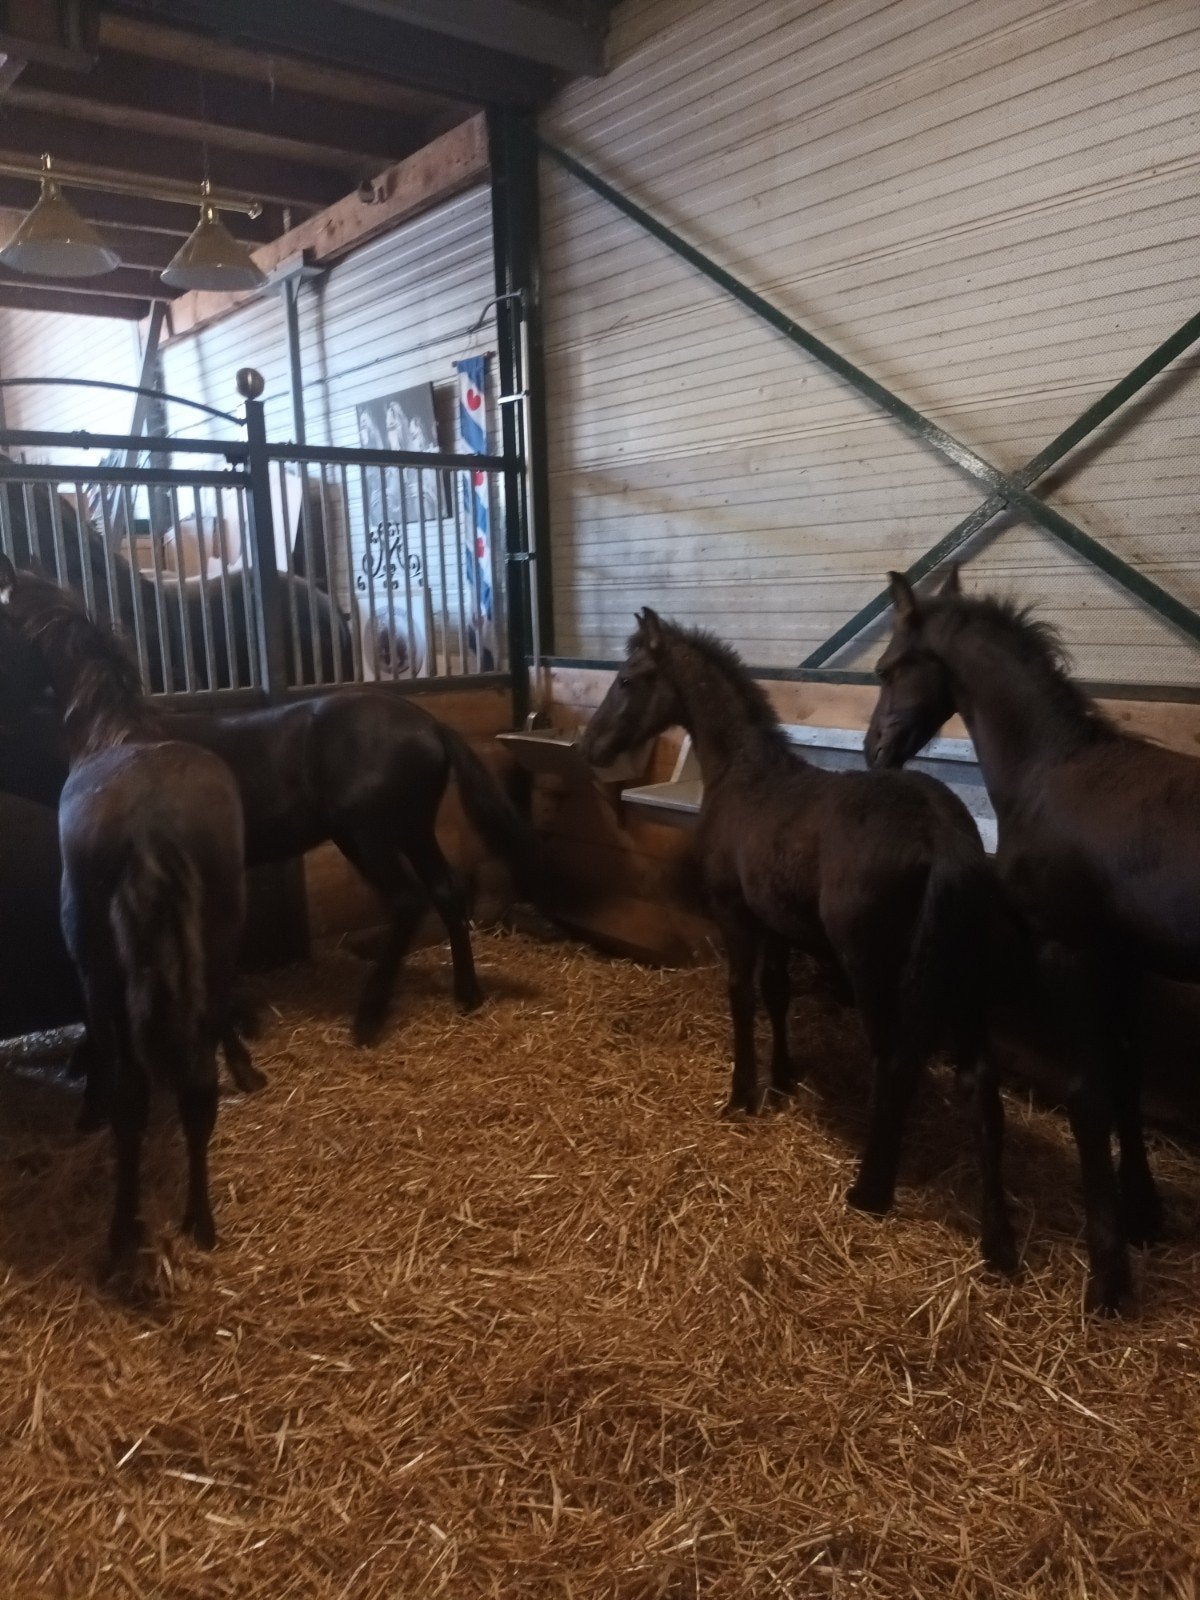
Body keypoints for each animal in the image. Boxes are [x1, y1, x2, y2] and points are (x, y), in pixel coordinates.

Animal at [0, 555, 260, 1264]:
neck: (114, 730)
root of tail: (150, 827)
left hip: (99, 965)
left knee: (132, 1099)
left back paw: (120, 1234)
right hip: (215, 940)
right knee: (195, 1085)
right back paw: (199, 1220)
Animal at [581, 608, 1016, 1273]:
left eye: (628, 678)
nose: (590, 747)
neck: (744, 775)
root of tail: (942, 834)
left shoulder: (737, 917)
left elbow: (741, 995)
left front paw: (742, 1095)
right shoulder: (774, 924)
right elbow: (778, 993)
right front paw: (784, 1078)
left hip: (874, 970)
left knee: (894, 1061)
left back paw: (870, 1190)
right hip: (961, 975)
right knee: (981, 1082)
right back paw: (998, 1242)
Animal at [864, 563, 1200, 1312]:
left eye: (888, 669)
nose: (873, 750)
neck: (1050, 774)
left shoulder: (1065, 949)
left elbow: (1088, 1094)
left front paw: (1107, 1277)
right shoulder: (1119, 958)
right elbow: (1126, 1080)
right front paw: (1143, 1216)